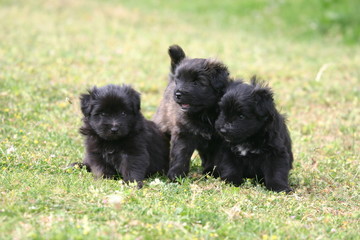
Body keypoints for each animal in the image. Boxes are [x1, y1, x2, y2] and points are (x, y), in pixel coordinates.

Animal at [153, 45, 231, 180]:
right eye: (178, 81)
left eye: (196, 82)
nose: (178, 94)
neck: (204, 114)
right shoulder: (183, 133)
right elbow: (180, 154)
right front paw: (177, 174)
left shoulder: (218, 140)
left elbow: (216, 157)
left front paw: (212, 172)